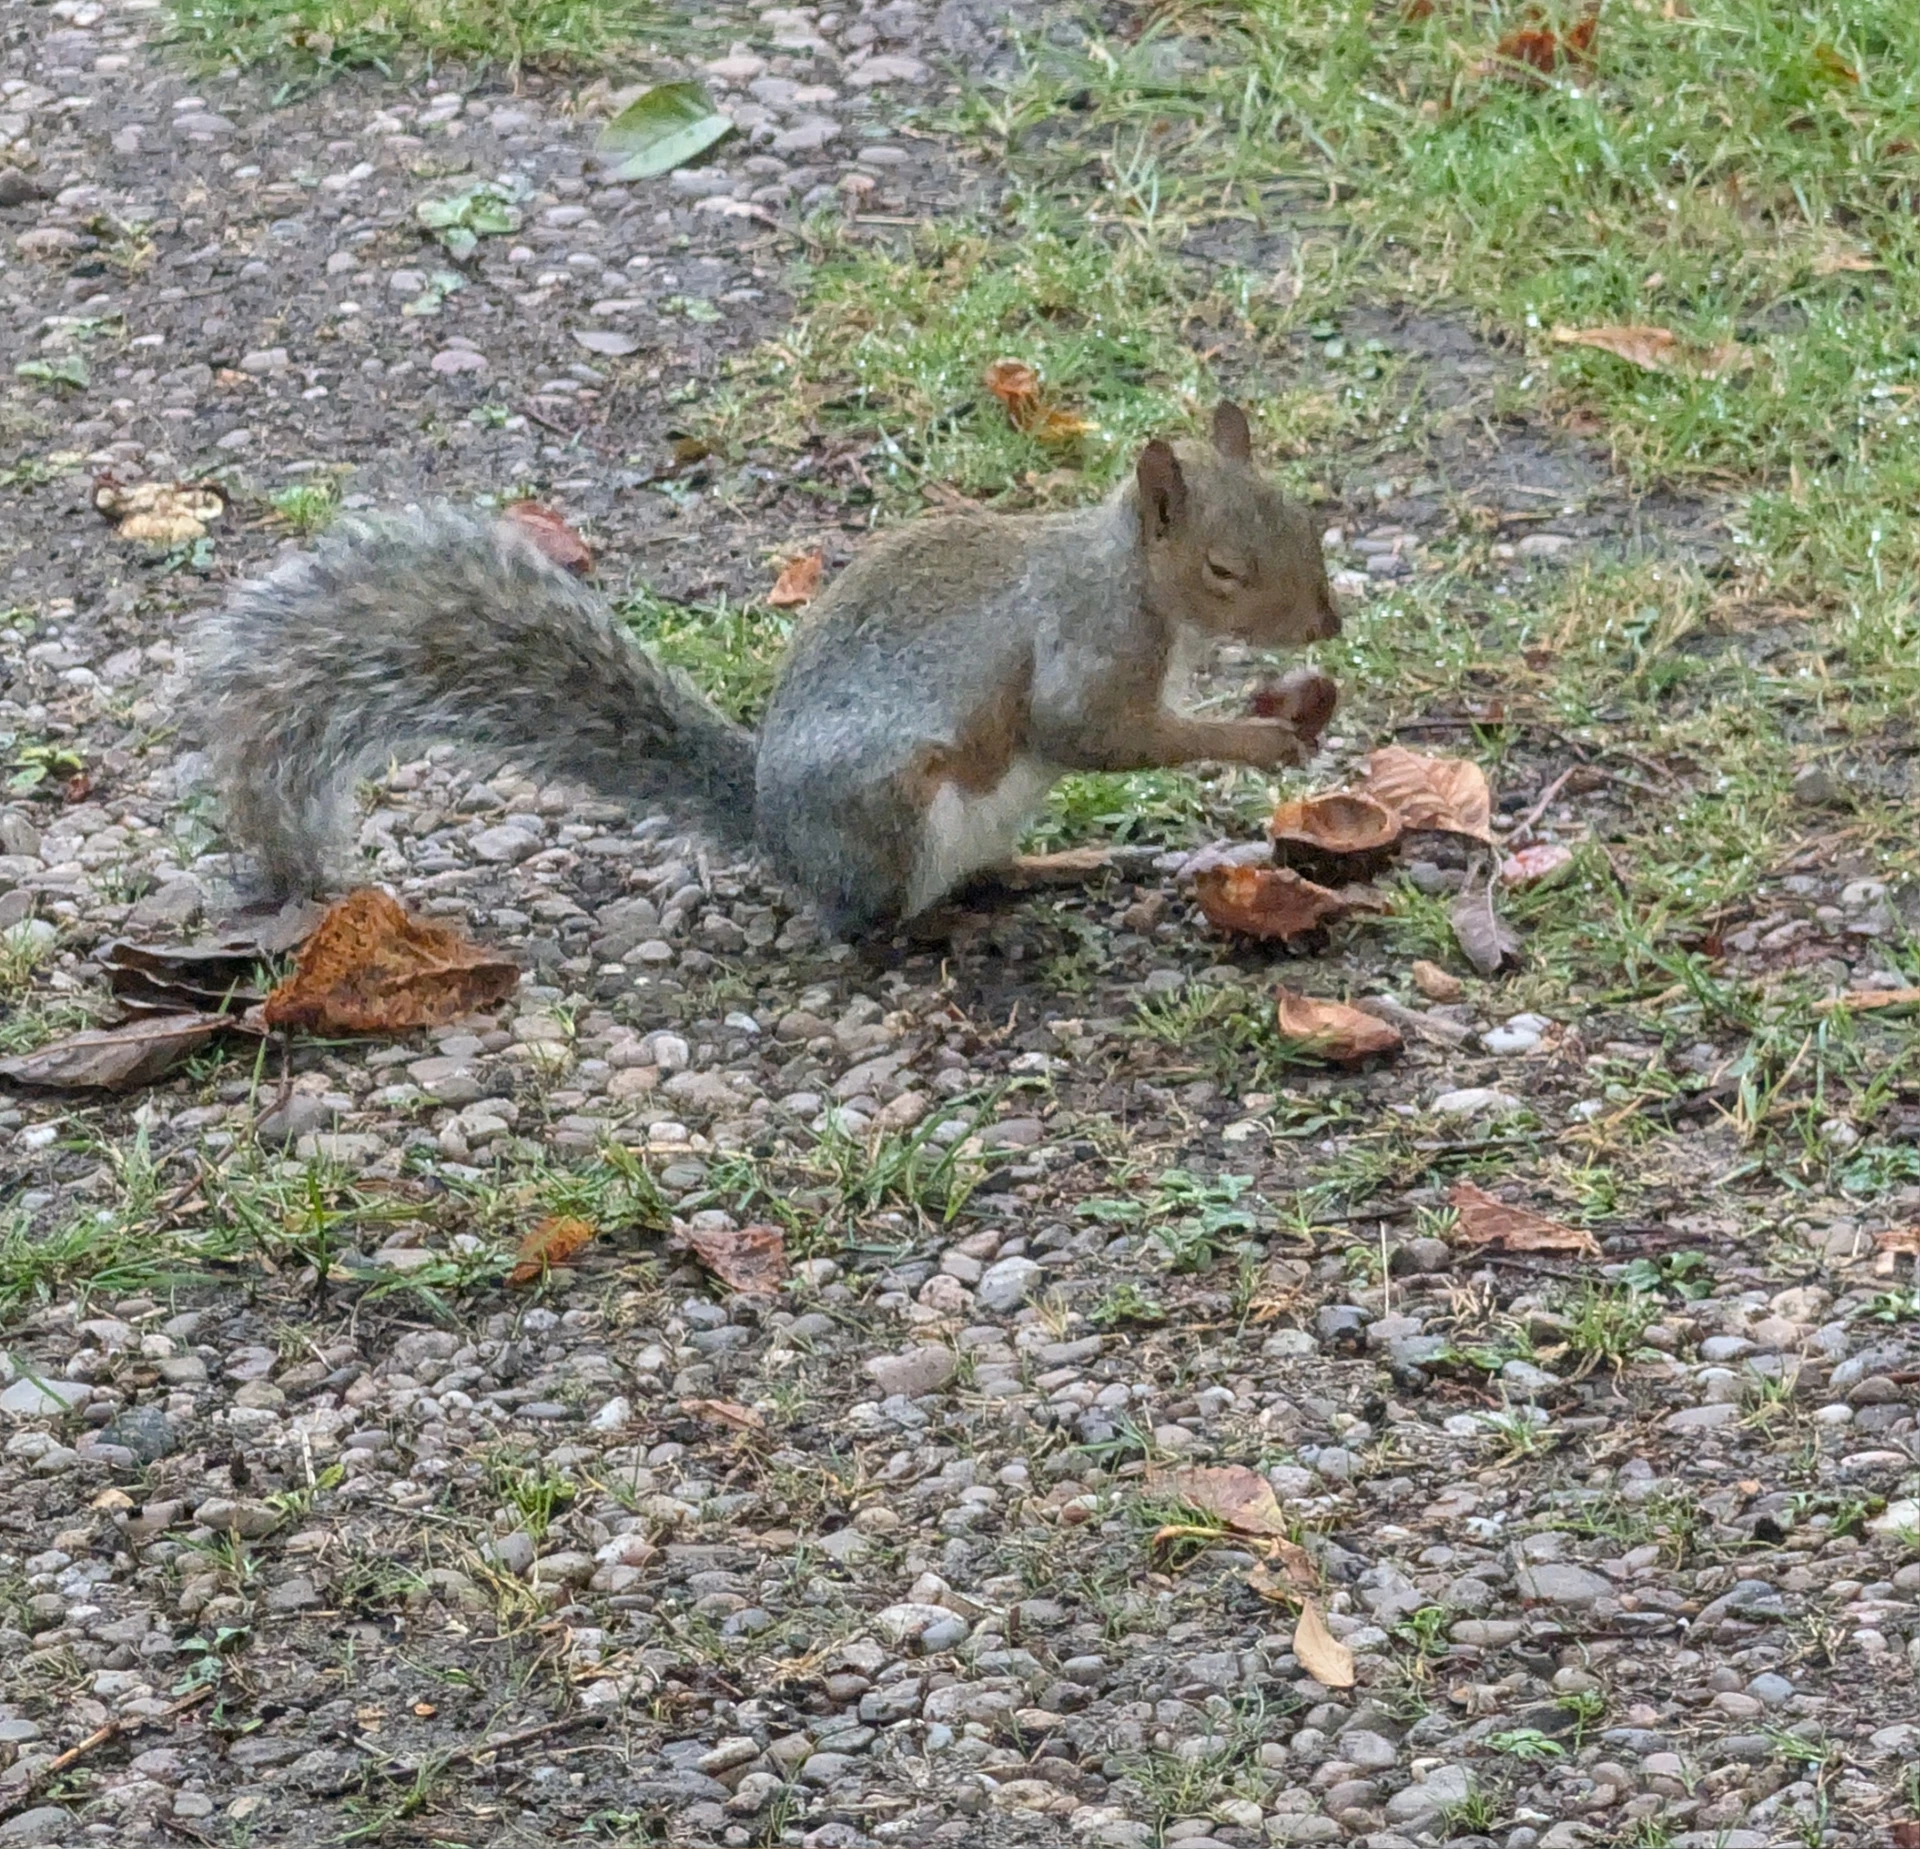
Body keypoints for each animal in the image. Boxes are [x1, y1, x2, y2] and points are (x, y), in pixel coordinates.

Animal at [194, 402, 1340, 940]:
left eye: (1305, 517)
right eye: (1224, 568)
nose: (1328, 622)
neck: (1131, 579)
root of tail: (776, 835)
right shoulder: (1083, 647)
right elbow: (1087, 732)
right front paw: (1254, 735)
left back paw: (1051, 864)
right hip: (893, 808)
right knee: (874, 919)